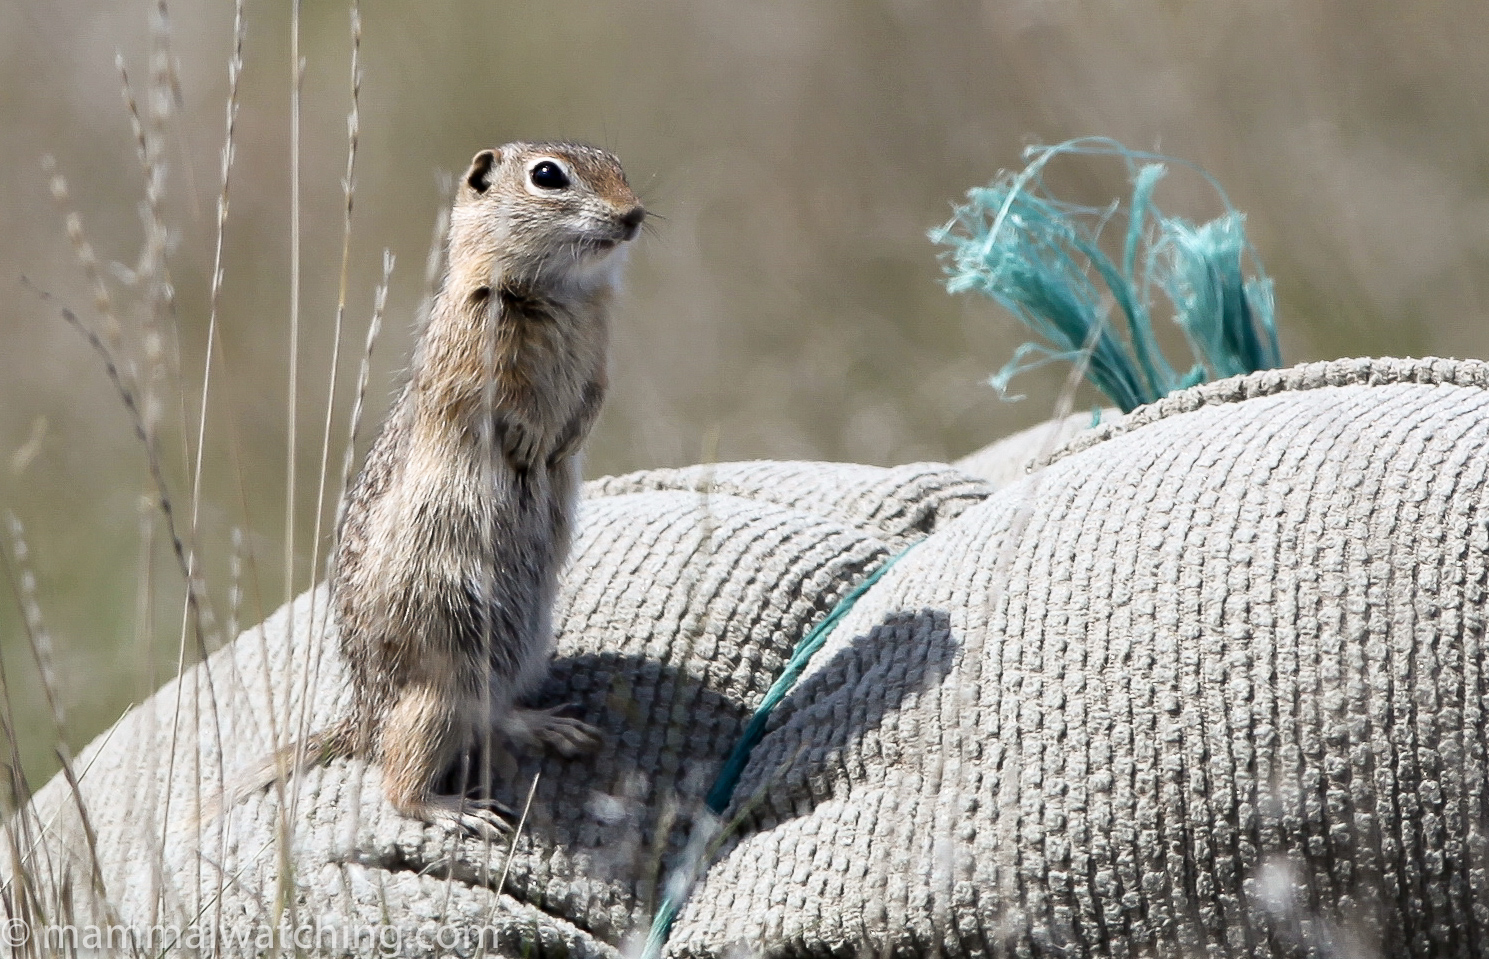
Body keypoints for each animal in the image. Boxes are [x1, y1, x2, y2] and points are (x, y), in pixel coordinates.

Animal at [235, 142, 643, 839]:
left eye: (618, 164)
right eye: (548, 175)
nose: (634, 214)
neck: (562, 292)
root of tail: (364, 719)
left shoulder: (599, 350)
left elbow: (590, 400)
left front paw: (557, 448)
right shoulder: (476, 344)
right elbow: (500, 404)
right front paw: (530, 444)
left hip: (518, 650)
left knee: (495, 714)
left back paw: (551, 727)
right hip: (439, 693)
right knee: (399, 777)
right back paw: (457, 812)